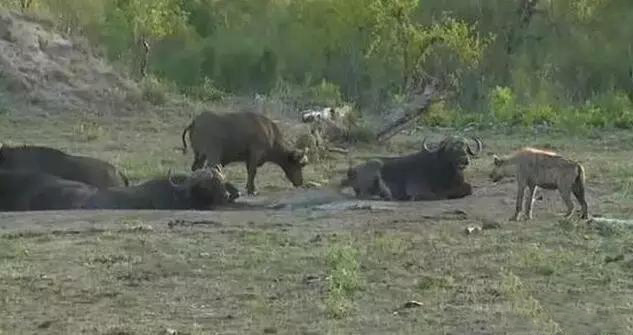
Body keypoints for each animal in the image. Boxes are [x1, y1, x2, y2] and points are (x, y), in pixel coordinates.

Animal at [180, 111, 308, 196]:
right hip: (213, 154)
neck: (270, 133)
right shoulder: (256, 154)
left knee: (196, 168)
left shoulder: (249, 158)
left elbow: (249, 172)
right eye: (298, 165)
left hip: (199, 155)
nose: (300, 182)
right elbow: (252, 171)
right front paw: (252, 190)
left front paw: (249, 187)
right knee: (212, 168)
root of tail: (195, 122)